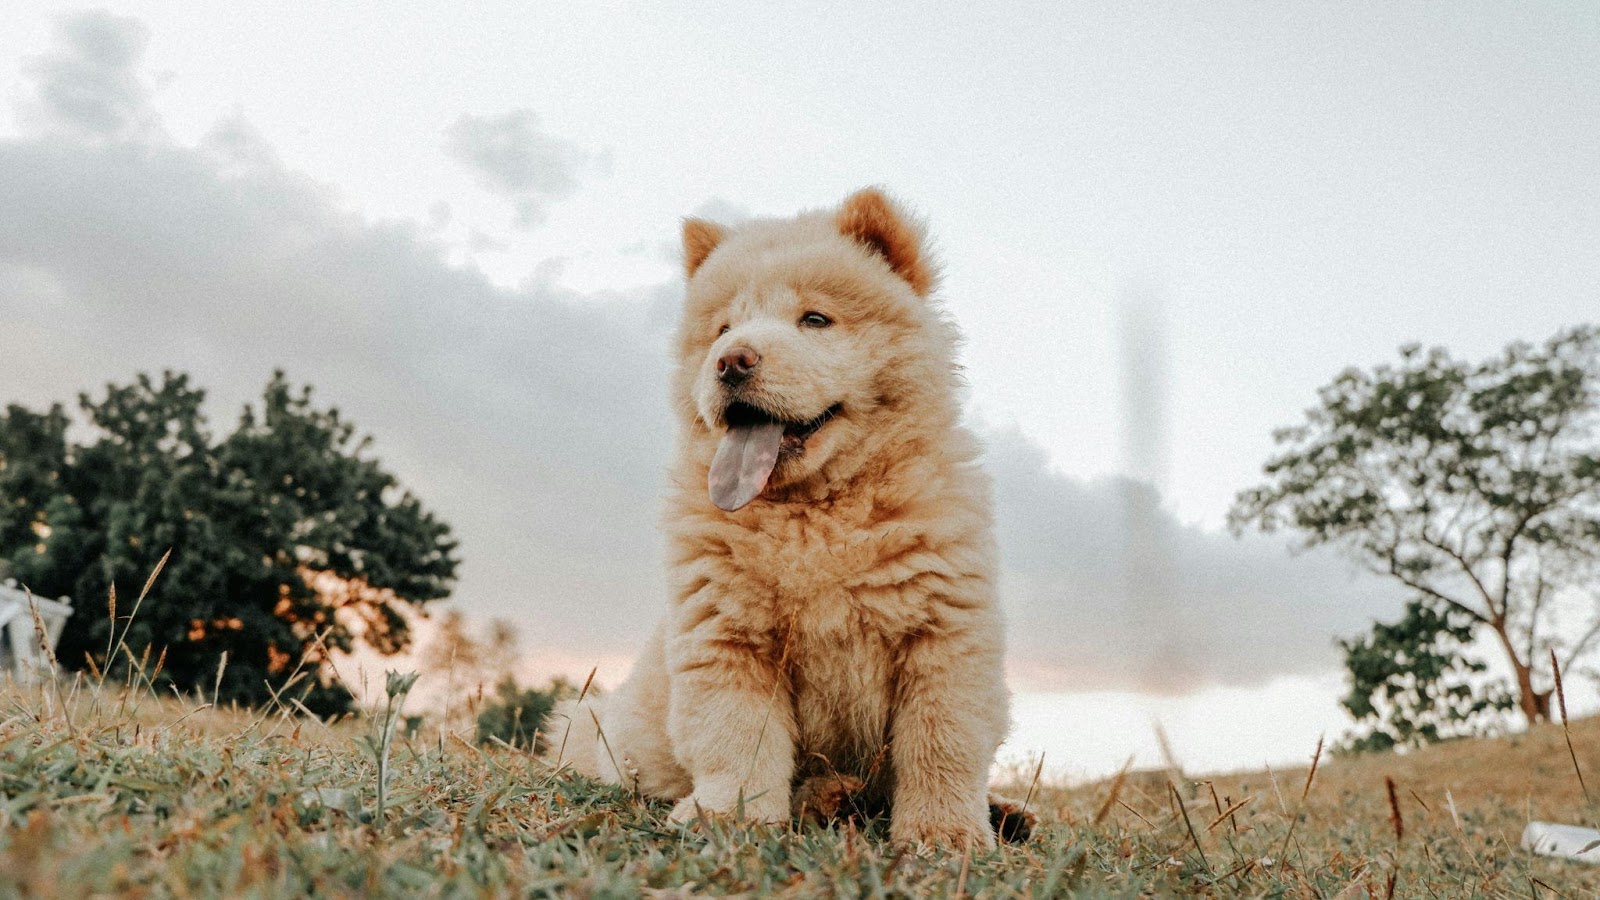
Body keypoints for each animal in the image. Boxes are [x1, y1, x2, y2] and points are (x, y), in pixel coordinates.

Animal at [553, 188, 1011, 845]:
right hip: (599, 727)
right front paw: (729, 816)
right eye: (722, 329)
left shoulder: (945, 632)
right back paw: (828, 797)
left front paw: (942, 834)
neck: (813, 514)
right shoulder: (727, 634)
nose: (731, 360)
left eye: (815, 320)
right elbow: (739, 738)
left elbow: (940, 743)